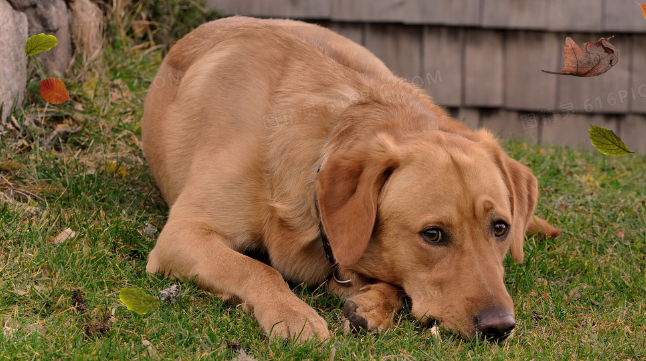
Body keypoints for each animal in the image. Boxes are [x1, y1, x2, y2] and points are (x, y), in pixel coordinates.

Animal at [143, 16, 560, 340]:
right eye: (433, 235)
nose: (499, 326)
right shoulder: (183, 234)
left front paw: (374, 304)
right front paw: (293, 314)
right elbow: (257, 269)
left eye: (501, 228)